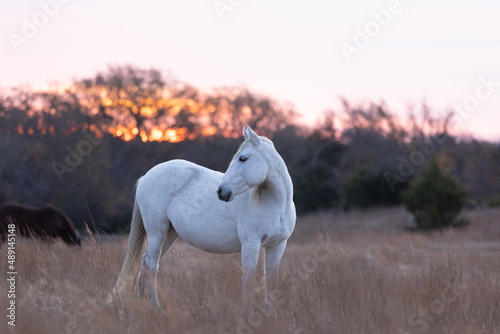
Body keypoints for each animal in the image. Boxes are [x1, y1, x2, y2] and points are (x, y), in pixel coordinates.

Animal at [111, 126, 294, 310]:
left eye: (243, 158)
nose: (221, 191)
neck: (278, 206)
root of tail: (145, 177)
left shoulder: (277, 246)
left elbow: (270, 281)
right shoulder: (251, 244)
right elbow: (248, 280)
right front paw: (248, 311)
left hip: (169, 235)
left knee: (145, 263)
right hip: (157, 232)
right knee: (151, 265)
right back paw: (156, 307)